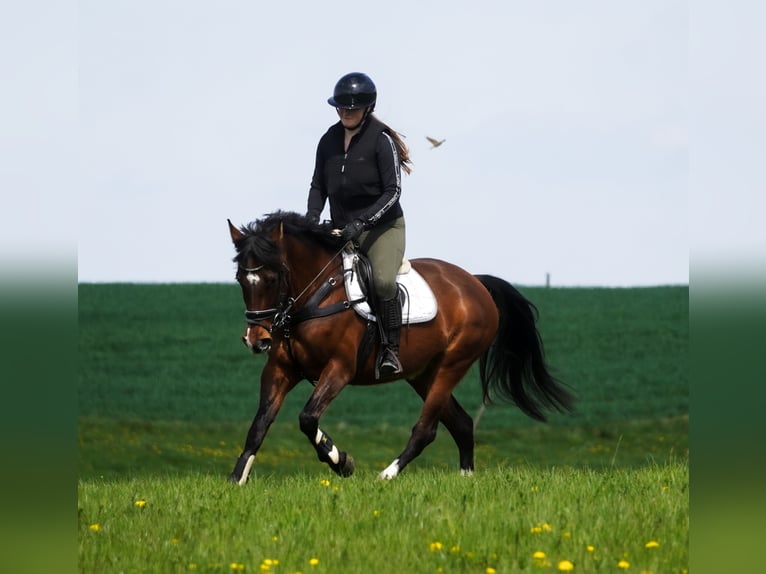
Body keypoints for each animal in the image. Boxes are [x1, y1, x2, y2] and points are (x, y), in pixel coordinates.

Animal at [227, 211, 574, 483]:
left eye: (274, 278)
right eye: (241, 279)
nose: (257, 339)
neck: (315, 296)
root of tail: (475, 283)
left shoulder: (339, 369)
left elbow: (308, 418)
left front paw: (342, 462)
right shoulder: (280, 369)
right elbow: (259, 424)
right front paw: (236, 478)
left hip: (452, 364)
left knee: (427, 429)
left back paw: (387, 475)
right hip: (422, 374)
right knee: (461, 424)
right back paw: (465, 478)